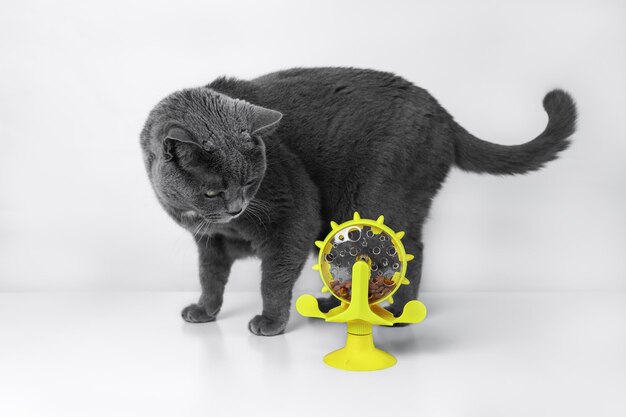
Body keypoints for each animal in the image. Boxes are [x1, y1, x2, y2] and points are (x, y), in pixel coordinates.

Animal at [140, 67, 576, 334]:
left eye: (250, 182)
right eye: (214, 191)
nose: (236, 207)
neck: (227, 224)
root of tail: (442, 114)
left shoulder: (294, 218)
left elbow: (273, 278)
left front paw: (270, 322)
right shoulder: (210, 242)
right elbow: (210, 277)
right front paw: (204, 311)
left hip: (377, 198)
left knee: (409, 251)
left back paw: (397, 314)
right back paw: (335, 306)